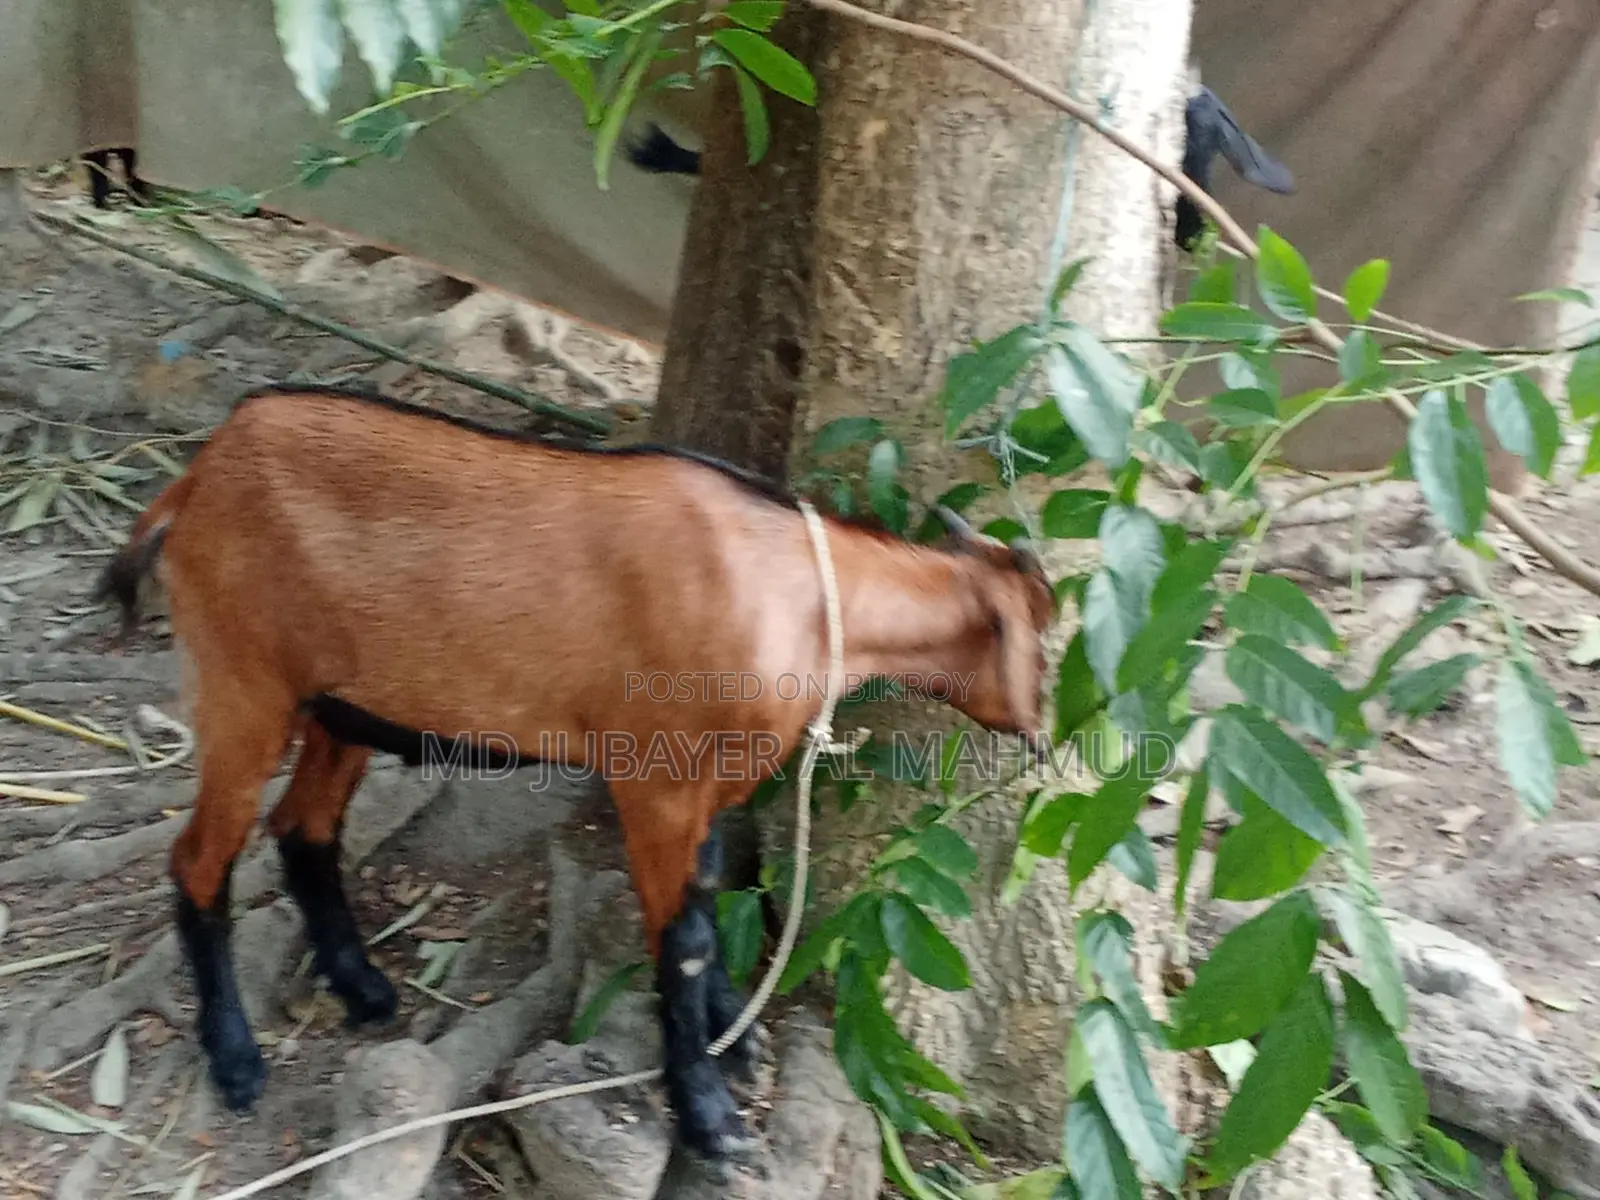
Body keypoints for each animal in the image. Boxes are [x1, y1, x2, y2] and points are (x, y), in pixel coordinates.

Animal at [92, 385, 1057, 1158]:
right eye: (1046, 637)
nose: (1046, 732)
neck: (804, 592)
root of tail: (197, 477)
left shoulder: (718, 779)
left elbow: (707, 903)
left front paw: (734, 1040)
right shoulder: (656, 776)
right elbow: (685, 938)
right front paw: (709, 1118)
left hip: (343, 707)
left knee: (305, 829)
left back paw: (363, 987)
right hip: (243, 681)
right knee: (200, 860)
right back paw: (236, 1059)